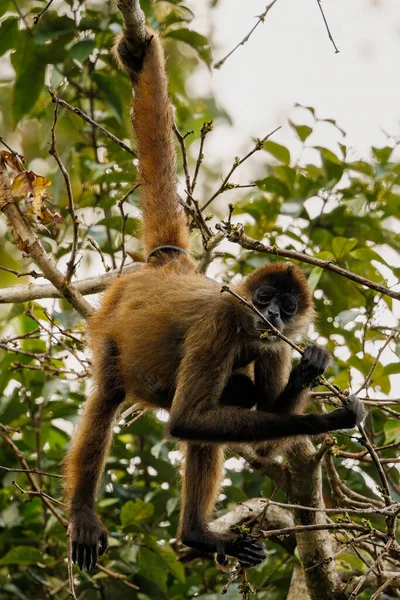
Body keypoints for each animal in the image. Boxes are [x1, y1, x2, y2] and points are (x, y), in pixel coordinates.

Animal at [64, 18, 368, 572]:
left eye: (287, 308)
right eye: (263, 297)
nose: (272, 316)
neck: (248, 328)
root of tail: (169, 266)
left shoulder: (271, 348)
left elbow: (260, 441)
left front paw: (311, 369)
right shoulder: (223, 321)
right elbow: (187, 419)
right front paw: (330, 418)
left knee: (225, 405)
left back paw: (199, 534)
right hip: (113, 323)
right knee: (113, 396)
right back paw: (89, 515)